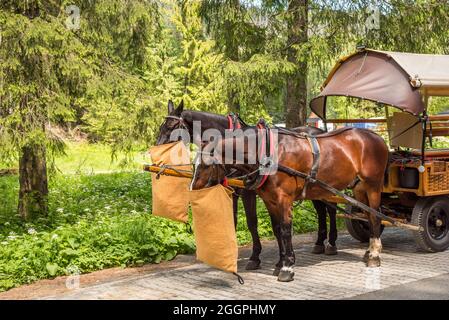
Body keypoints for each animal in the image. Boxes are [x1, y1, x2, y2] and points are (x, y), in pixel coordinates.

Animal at [191, 126, 386, 282]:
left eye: (206, 165)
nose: (192, 191)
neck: (269, 154)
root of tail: (376, 136)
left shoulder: (284, 199)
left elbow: (285, 230)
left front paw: (287, 267)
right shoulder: (270, 200)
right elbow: (277, 230)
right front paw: (280, 262)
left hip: (373, 186)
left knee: (375, 216)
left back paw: (374, 254)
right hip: (357, 189)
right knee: (365, 215)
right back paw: (367, 250)